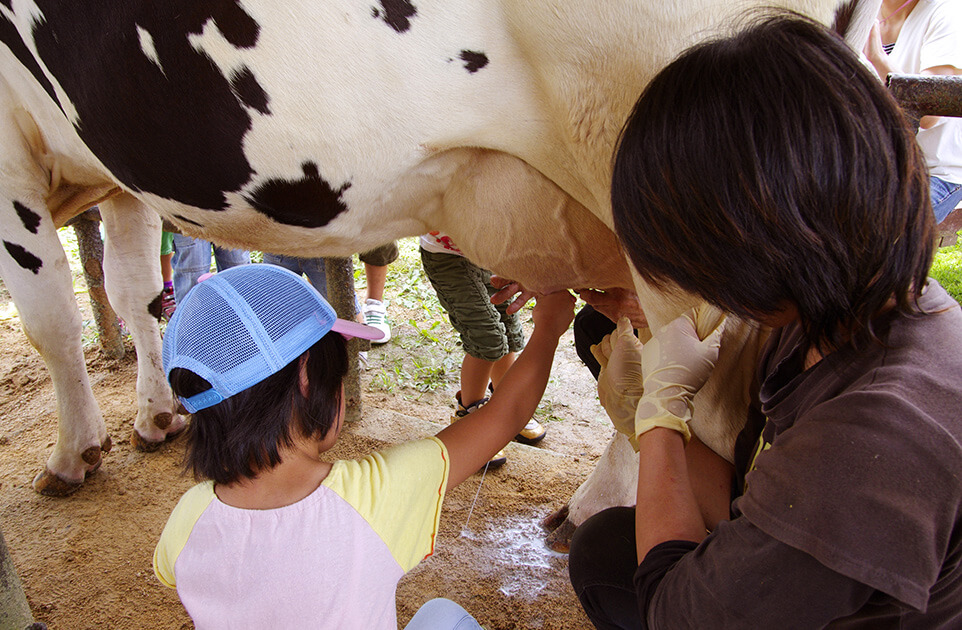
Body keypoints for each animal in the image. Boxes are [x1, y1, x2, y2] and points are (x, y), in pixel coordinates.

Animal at [0, 0, 872, 520]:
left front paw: (72, 454)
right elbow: (138, 292)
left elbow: (49, 319)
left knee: (698, 402)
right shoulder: (114, 164)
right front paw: (154, 414)